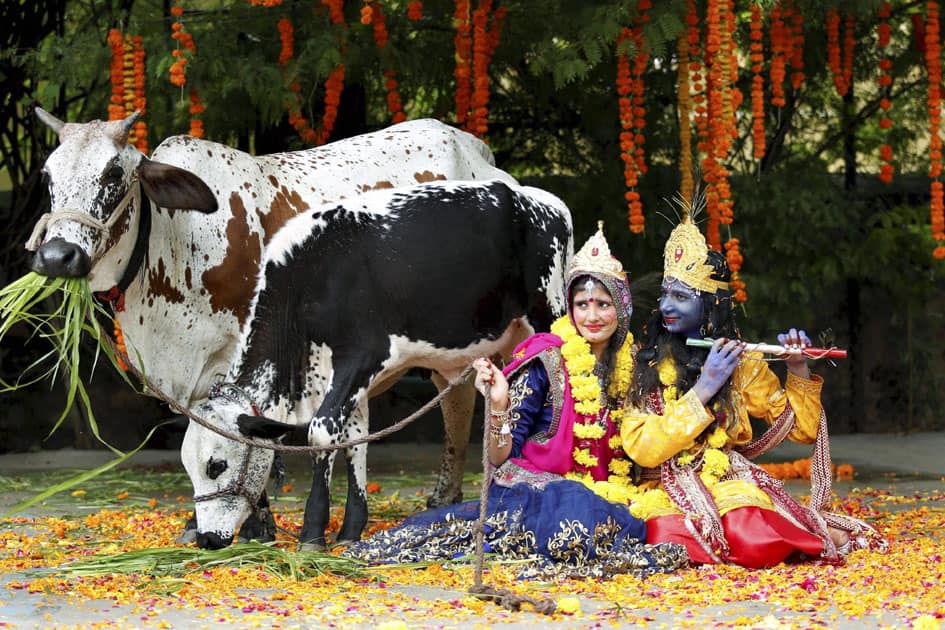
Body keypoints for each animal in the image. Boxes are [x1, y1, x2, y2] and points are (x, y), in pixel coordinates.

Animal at [25, 107, 516, 540]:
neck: (176, 238)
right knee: (454, 398)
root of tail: (477, 152)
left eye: (113, 174)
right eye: (48, 178)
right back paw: (446, 496)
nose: (58, 255)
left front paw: (259, 525)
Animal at [181, 179, 572, 552]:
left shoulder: (360, 358)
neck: (310, 277)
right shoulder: (343, 378)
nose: (207, 539)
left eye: (216, 465)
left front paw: (313, 532)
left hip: (548, 314)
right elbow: (355, 439)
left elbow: (321, 432)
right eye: (189, 468)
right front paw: (351, 528)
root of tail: (542, 200)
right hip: (510, 341)